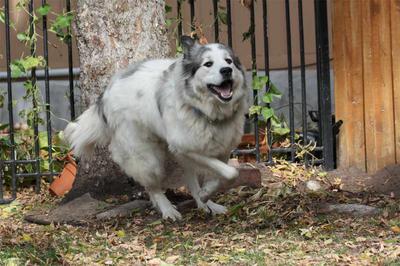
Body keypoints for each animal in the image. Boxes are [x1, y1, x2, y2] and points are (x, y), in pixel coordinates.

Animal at [64, 36, 248, 221]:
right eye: (208, 64)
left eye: (229, 61)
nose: (226, 70)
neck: (206, 112)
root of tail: (106, 91)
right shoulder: (185, 148)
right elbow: (231, 172)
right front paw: (204, 194)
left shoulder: (222, 149)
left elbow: (224, 175)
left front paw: (206, 193)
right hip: (146, 158)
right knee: (152, 187)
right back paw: (168, 210)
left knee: (189, 179)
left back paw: (205, 204)